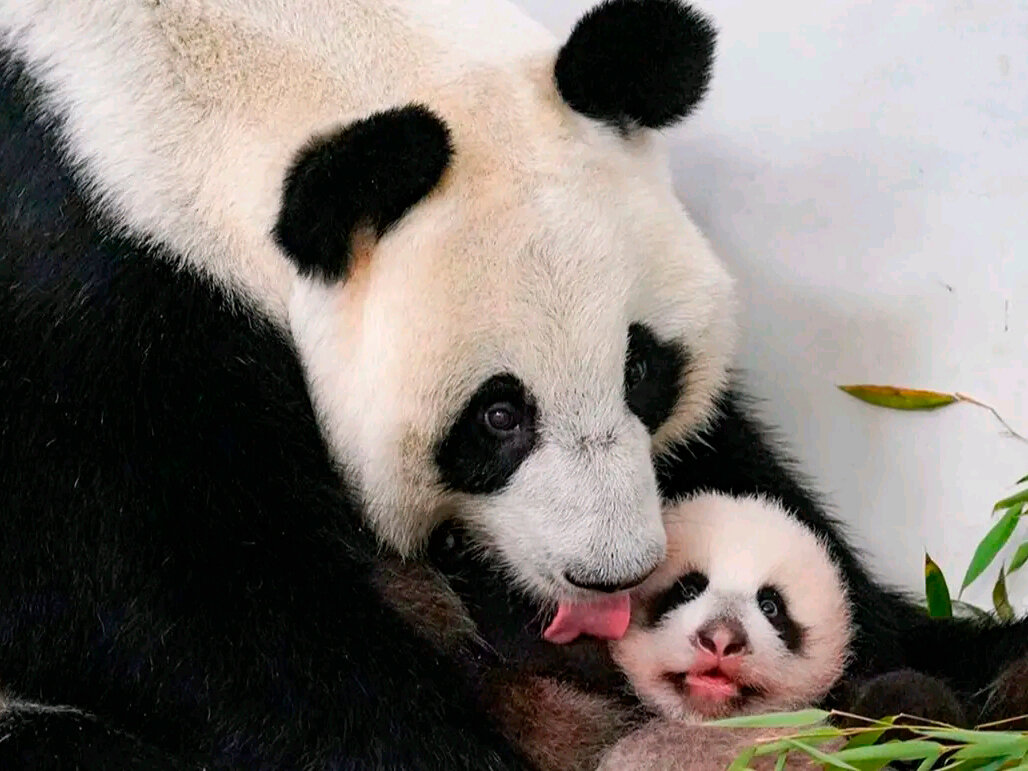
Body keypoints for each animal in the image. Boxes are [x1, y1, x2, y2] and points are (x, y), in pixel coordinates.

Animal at [0, 1, 1023, 771]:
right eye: (497, 416)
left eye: (641, 369)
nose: (614, 573)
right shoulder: (86, 307)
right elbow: (175, 603)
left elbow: (742, 471)